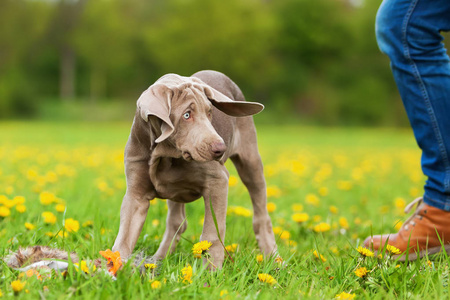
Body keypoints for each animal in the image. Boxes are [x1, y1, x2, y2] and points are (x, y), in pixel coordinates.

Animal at [111, 69, 278, 268]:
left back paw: (274, 258)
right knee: (177, 222)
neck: (165, 154)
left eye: (209, 113)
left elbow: (212, 232)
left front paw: (211, 270)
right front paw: (111, 268)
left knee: (261, 214)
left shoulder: (218, 181)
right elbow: (124, 236)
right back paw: (159, 258)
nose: (220, 149)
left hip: (250, 160)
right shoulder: (136, 195)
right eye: (187, 115)